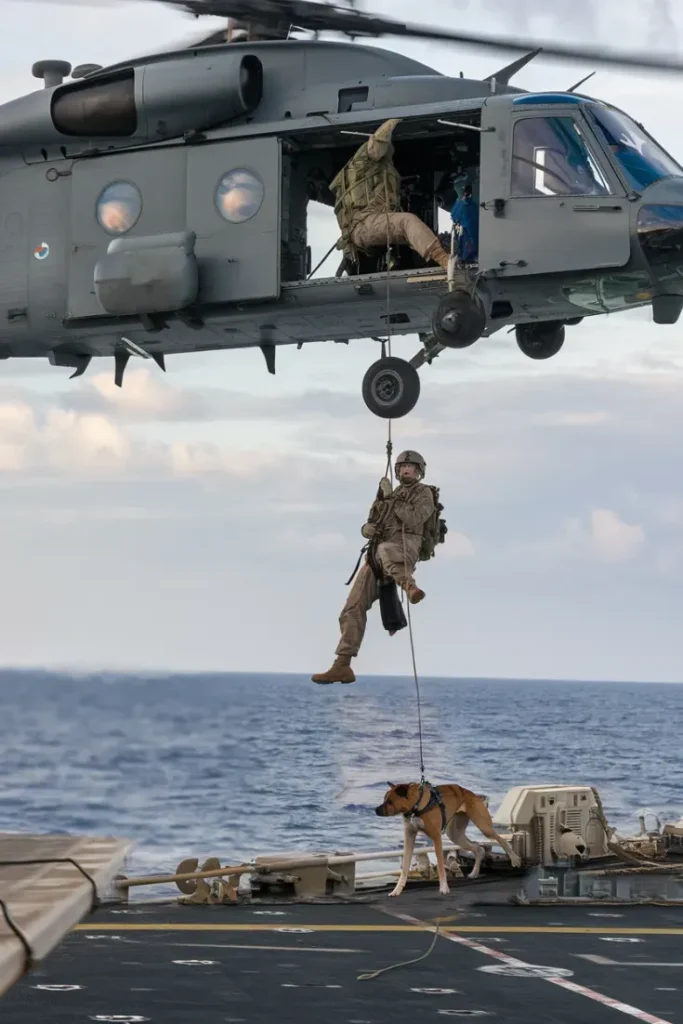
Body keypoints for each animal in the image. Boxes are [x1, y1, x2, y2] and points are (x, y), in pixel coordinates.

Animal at [376, 782, 520, 897]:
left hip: (484, 826)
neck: (417, 804)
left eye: (390, 801)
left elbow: (440, 865)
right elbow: (405, 867)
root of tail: (473, 794)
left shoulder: (436, 837)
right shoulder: (409, 837)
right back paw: (474, 873)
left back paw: (514, 859)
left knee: (501, 840)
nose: (376, 810)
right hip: (455, 834)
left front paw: (444, 888)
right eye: (384, 799)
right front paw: (397, 890)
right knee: (478, 848)